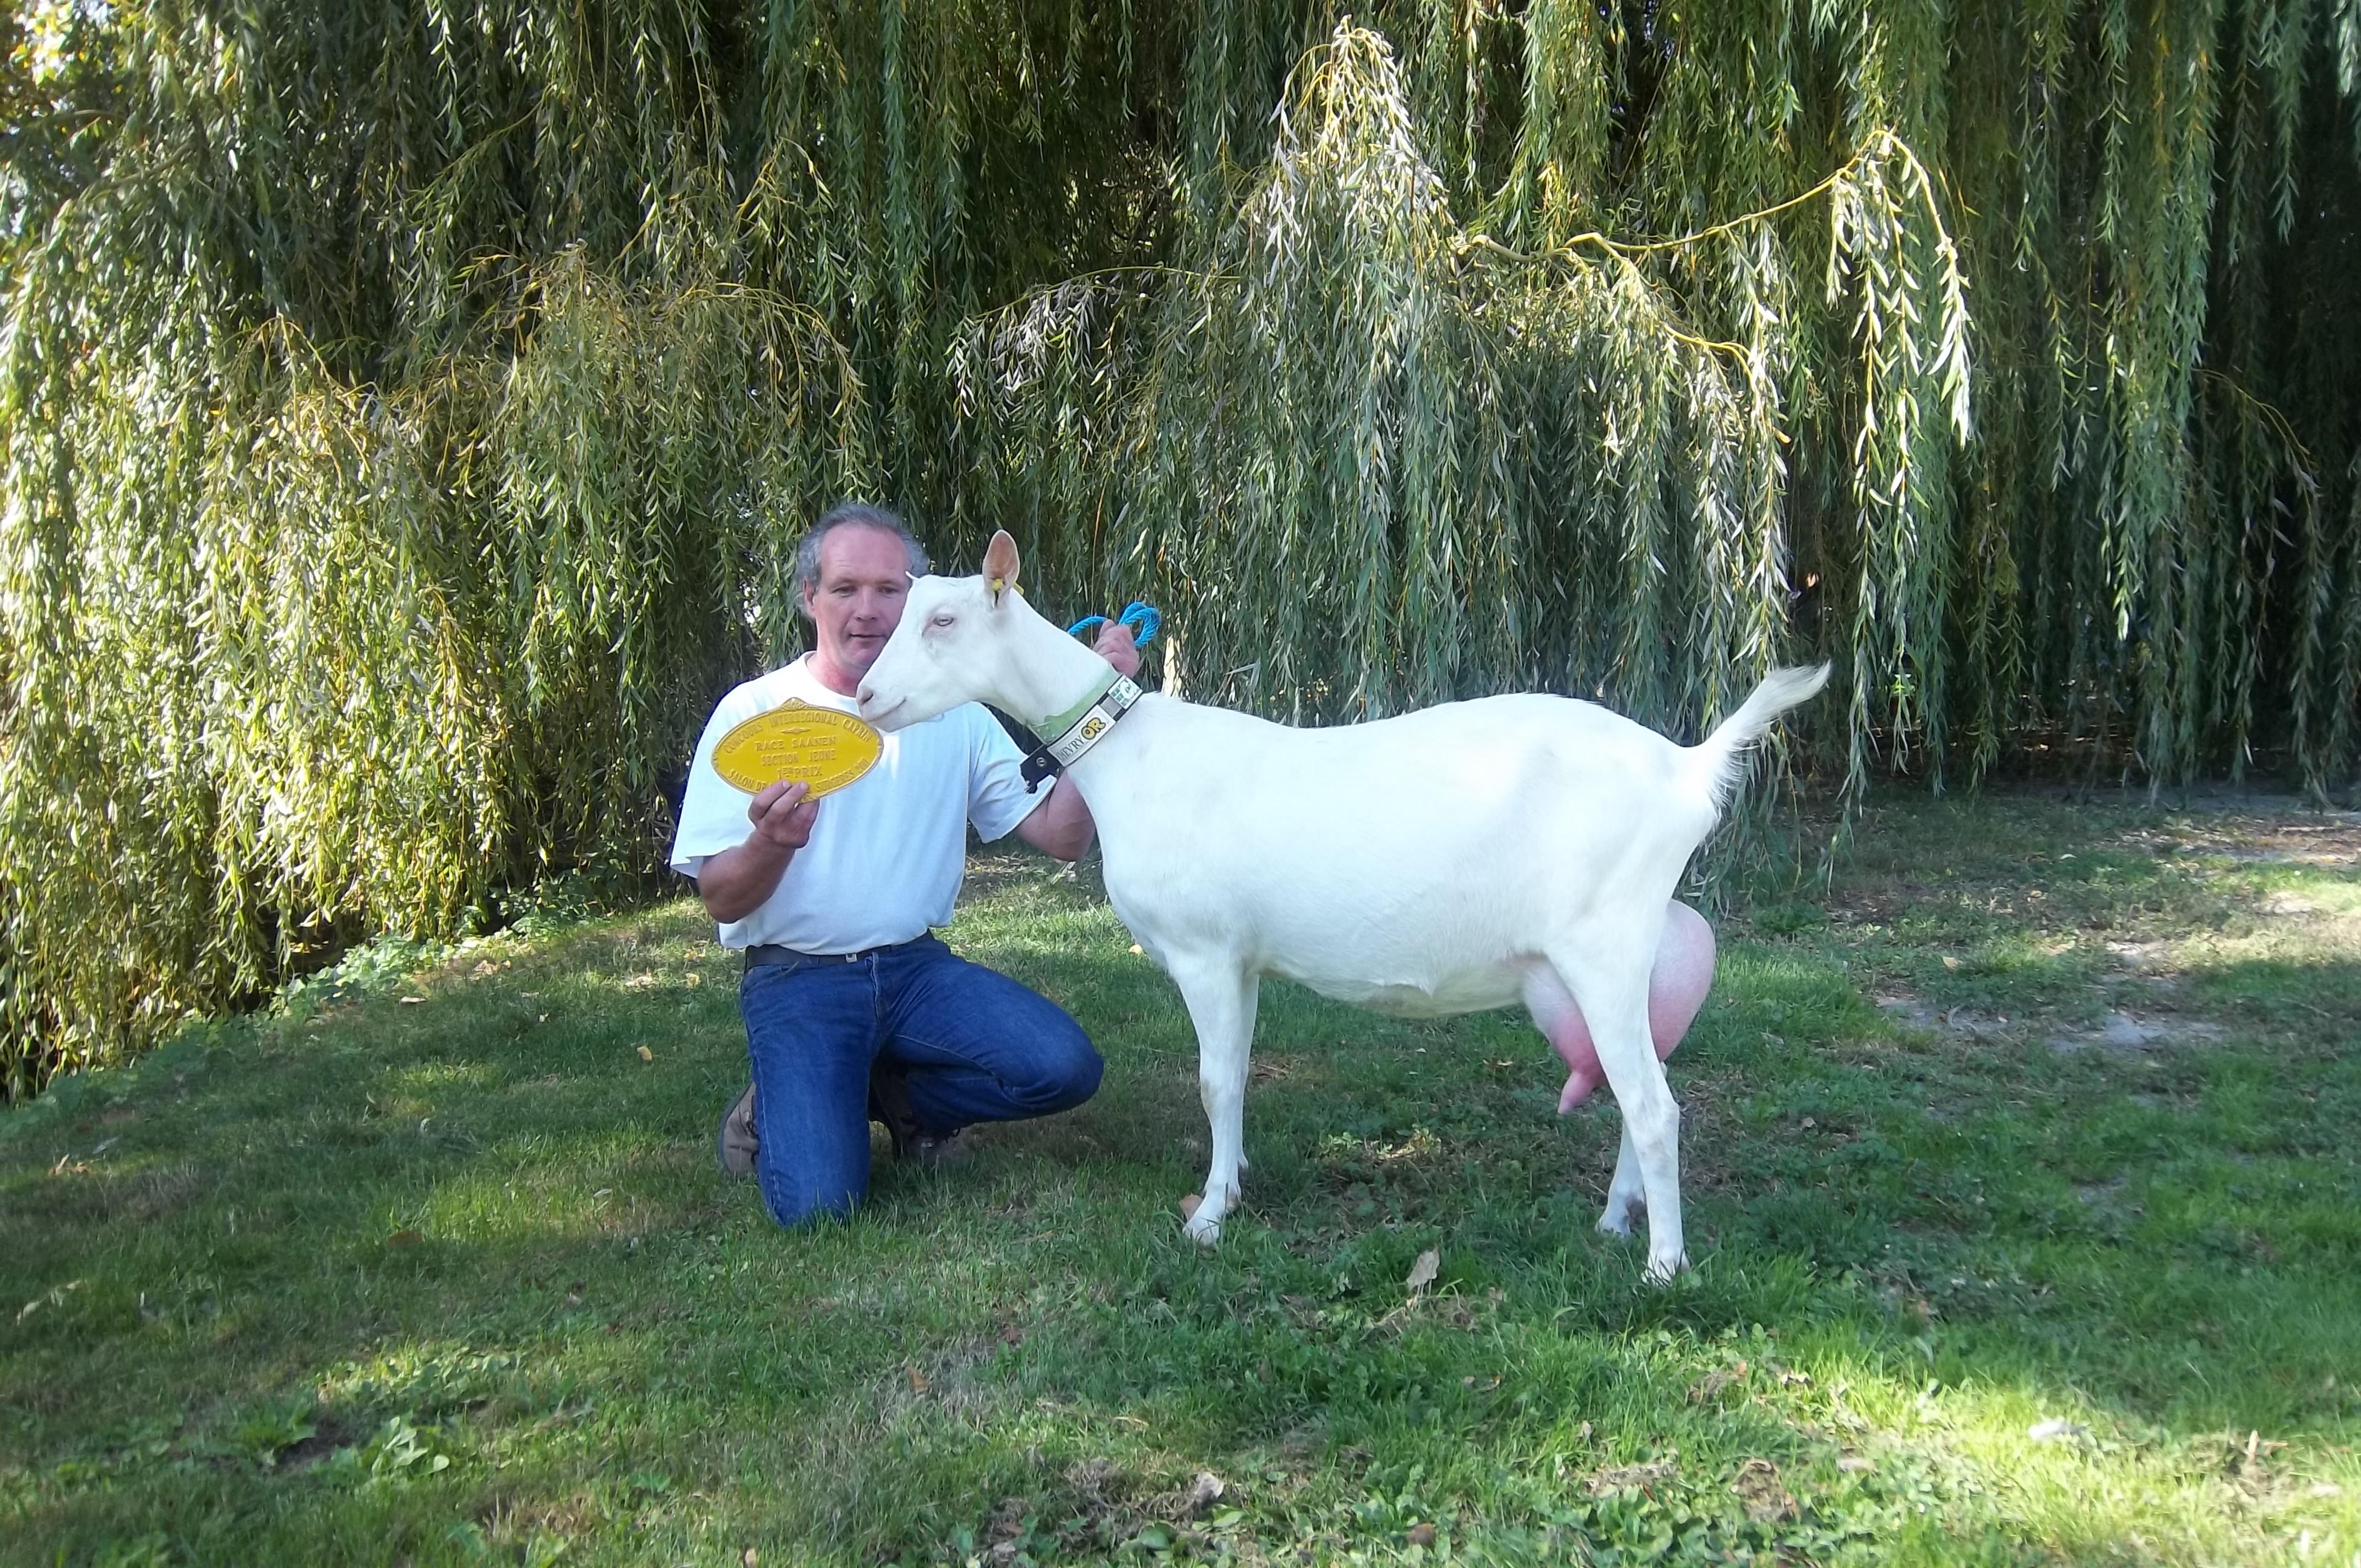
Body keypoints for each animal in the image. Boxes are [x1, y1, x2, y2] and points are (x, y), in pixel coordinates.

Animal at [859, 533, 1832, 1284]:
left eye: (943, 621)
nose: (868, 696)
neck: (1126, 757)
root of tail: (1686, 770)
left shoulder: (1204, 950)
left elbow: (1213, 1080)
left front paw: (1207, 1219)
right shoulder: (1244, 957)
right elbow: (1238, 1074)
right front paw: (1234, 1178)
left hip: (1607, 940)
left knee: (1655, 1106)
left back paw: (1663, 1267)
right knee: (1639, 1087)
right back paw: (1614, 1221)